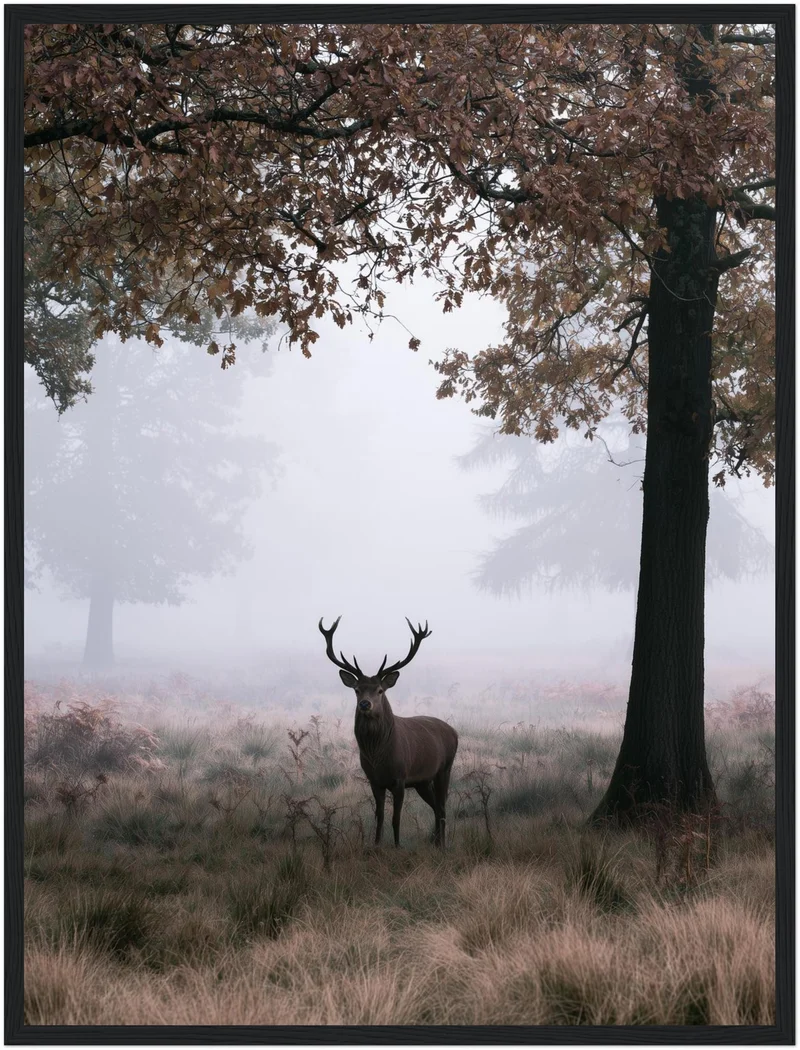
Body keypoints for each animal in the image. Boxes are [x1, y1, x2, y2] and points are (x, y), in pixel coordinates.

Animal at [319, 616, 458, 849]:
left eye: (380, 690)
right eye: (357, 690)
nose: (365, 704)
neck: (378, 756)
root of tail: (454, 732)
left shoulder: (400, 778)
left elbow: (396, 817)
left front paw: (397, 845)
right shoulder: (374, 780)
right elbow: (380, 815)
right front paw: (376, 844)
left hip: (444, 768)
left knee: (442, 806)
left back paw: (443, 844)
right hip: (422, 781)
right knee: (436, 807)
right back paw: (436, 842)